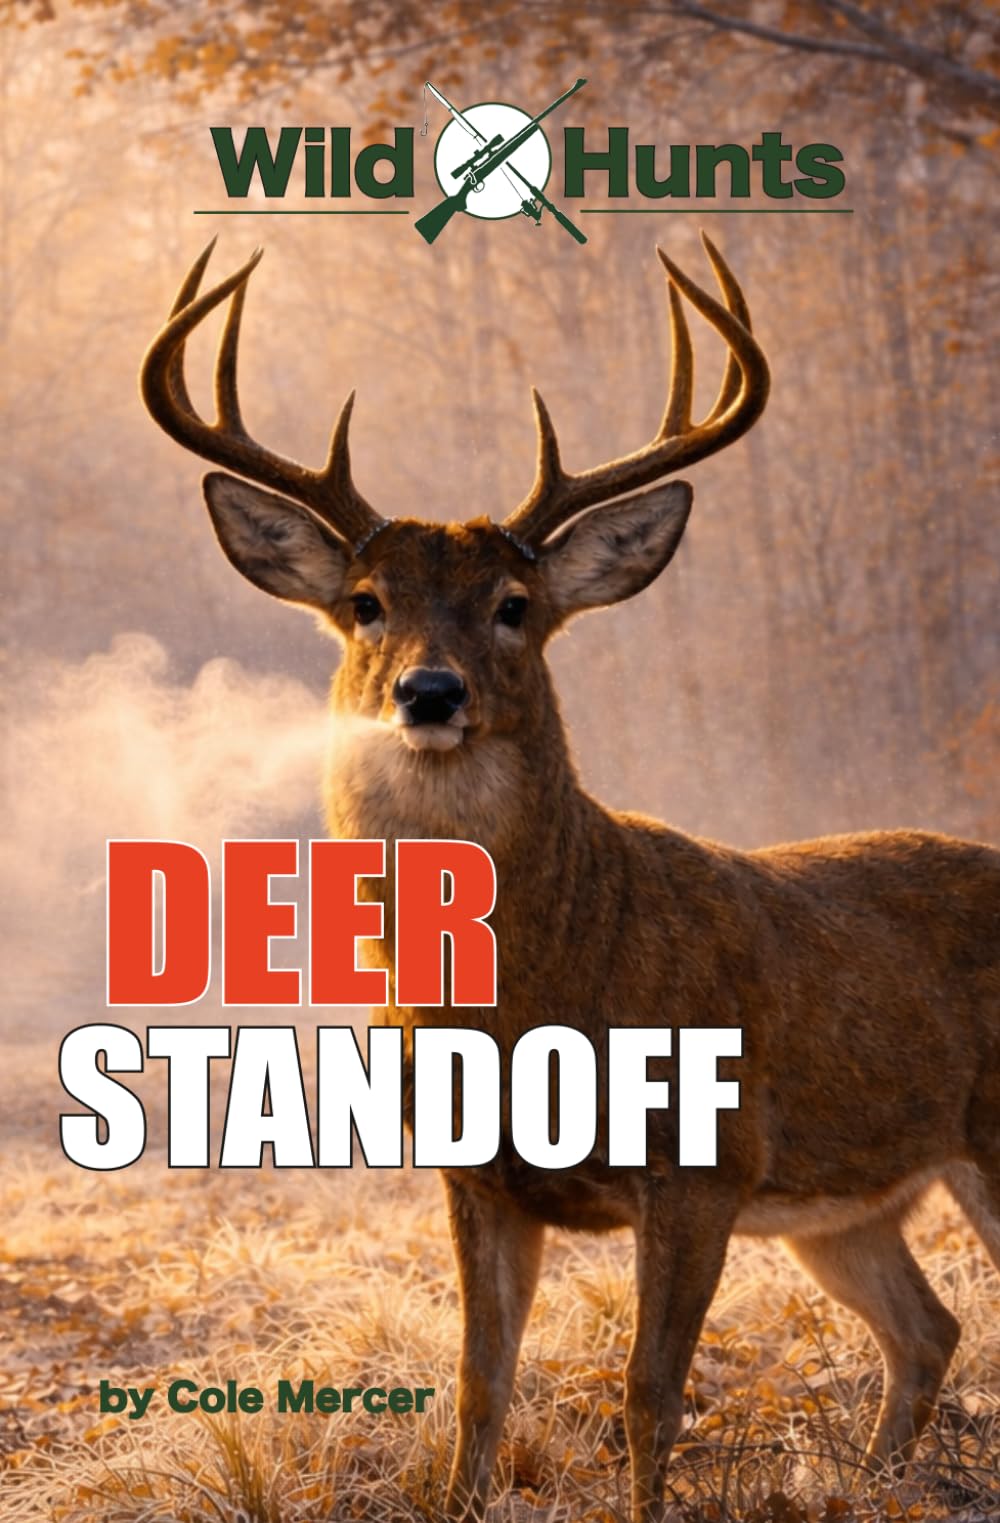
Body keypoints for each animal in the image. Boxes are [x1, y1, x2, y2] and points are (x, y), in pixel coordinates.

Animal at [141, 234, 1000, 1523]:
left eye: (515, 605)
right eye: (363, 603)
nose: (429, 690)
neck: (537, 988)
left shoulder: (703, 1155)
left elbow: (649, 1394)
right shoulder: (471, 1171)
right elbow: (479, 1384)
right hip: (849, 1206)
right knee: (927, 1328)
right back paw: (875, 1485)